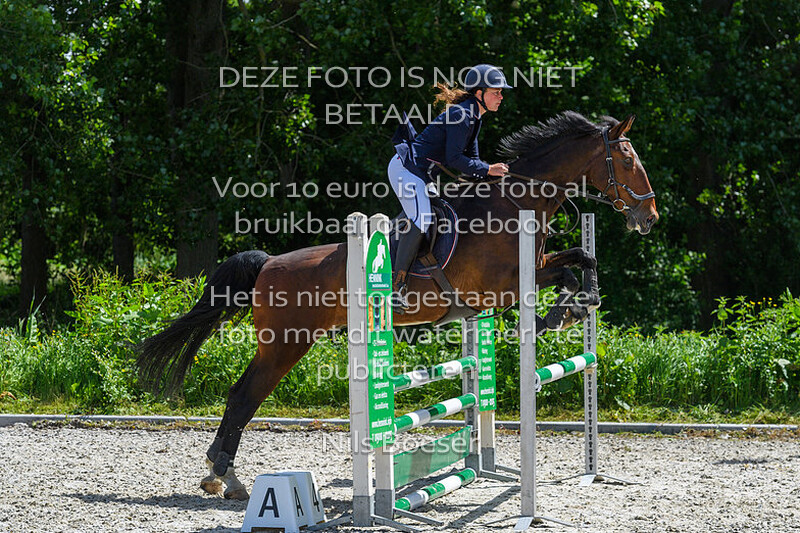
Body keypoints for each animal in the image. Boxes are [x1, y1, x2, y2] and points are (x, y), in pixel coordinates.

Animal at [136, 111, 659, 499]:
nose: (649, 217)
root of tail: (267, 264)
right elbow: (566, 274)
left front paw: (576, 306)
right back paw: (225, 474)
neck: (512, 204)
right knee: (244, 396)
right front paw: (559, 312)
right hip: (285, 343)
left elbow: (581, 261)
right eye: (627, 159)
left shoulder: (531, 270)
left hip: (284, 344)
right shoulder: (502, 290)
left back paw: (221, 475)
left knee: (240, 396)